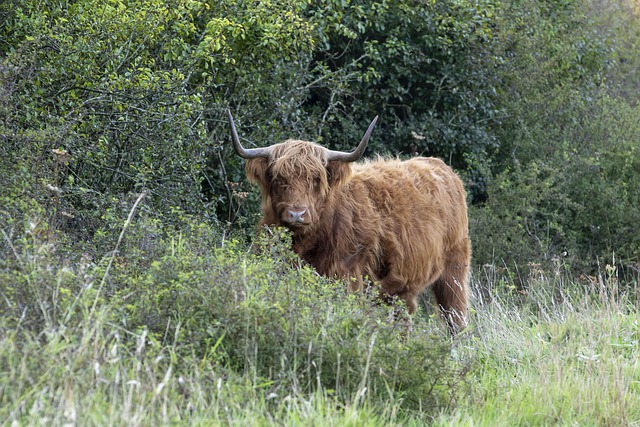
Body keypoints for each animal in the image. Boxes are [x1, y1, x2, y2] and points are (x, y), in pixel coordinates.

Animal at [229, 112, 470, 332]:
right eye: (279, 179)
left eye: (316, 179)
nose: (297, 214)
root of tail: (442, 167)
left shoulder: (347, 272)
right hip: (401, 288)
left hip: (454, 271)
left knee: (455, 319)